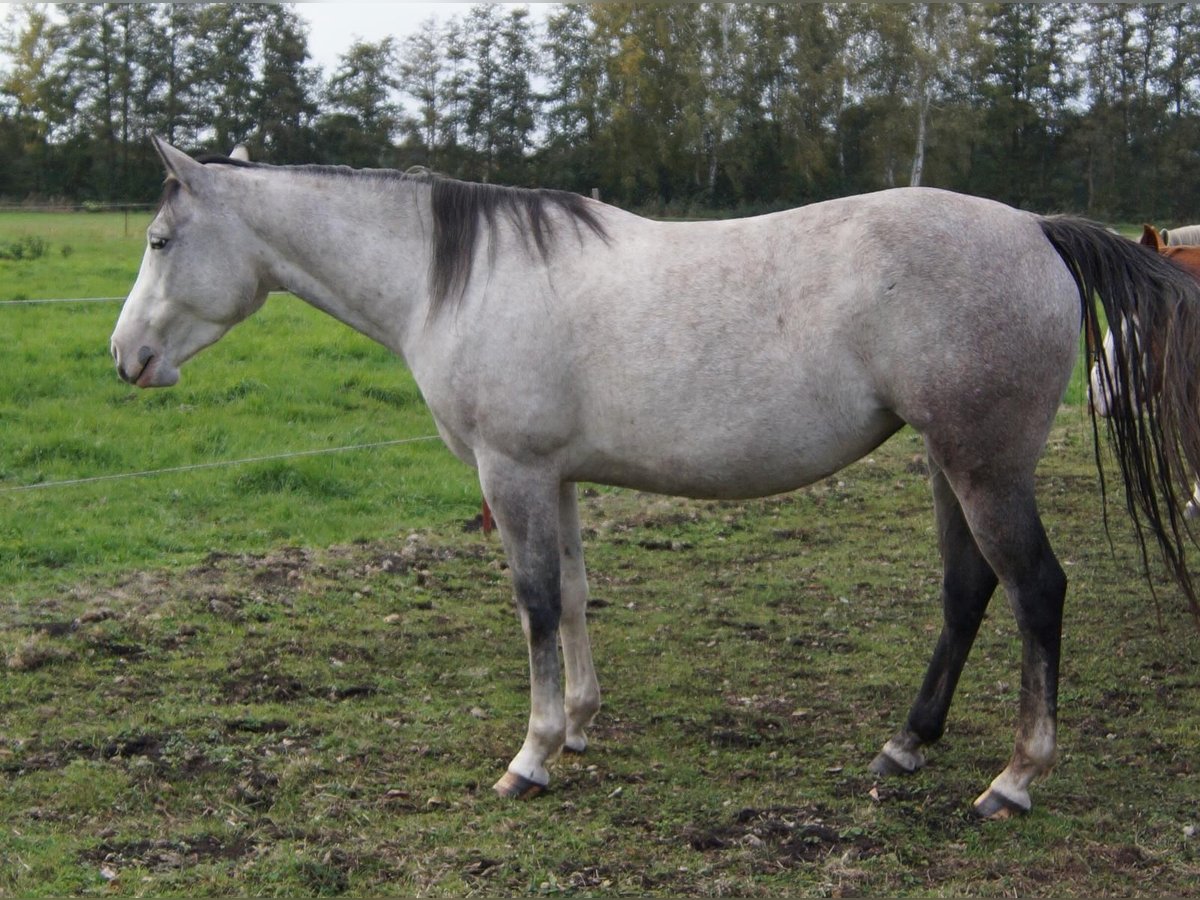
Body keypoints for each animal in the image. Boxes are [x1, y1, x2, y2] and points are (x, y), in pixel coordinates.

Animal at [111, 138, 1200, 819]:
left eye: (160, 242)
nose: (126, 359)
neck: (452, 281)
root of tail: (1034, 229)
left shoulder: (512, 474)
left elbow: (534, 605)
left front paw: (533, 756)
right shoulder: (551, 476)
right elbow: (573, 595)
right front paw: (582, 728)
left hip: (985, 468)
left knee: (1037, 590)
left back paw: (1016, 779)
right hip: (949, 463)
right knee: (970, 588)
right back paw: (906, 744)